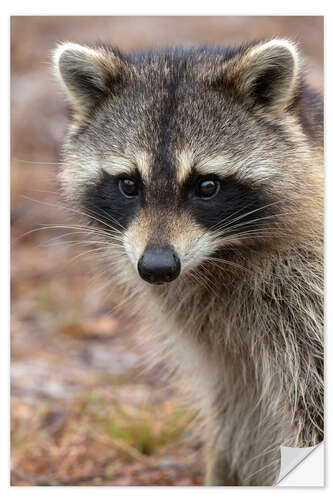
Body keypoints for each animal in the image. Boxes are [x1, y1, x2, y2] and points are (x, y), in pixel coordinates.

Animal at [53, 40, 322, 488]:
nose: (157, 267)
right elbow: (235, 410)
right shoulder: (223, 351)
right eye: (129, 184)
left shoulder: (307, 298)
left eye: (207, 186)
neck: (222, 256)